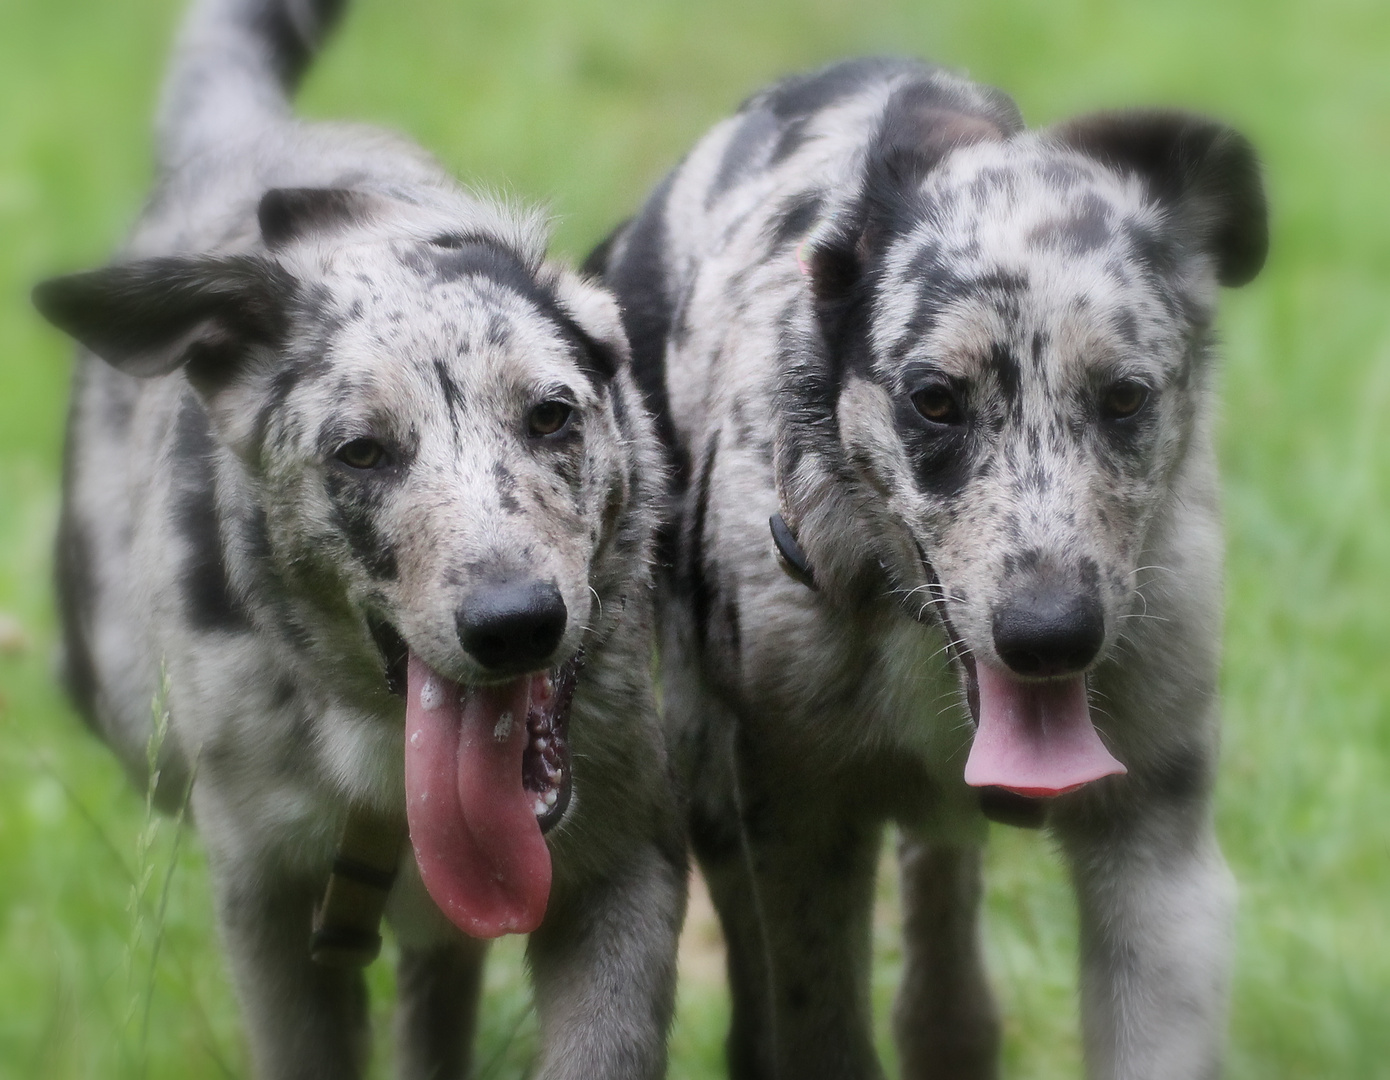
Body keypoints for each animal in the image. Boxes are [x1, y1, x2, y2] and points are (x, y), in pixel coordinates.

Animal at [32, 2, 683, 1078]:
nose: (515, 623)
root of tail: (243, 129)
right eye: (363, 452)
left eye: (551, 416)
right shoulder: (266, 897)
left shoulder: (624, 864)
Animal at [592, 56, 1267, 1078]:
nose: (1051, 636)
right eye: (935, 400)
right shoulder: (800, 824)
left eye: (1125, 397)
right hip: (705, 768)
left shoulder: (1158, 851)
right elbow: (818, 1026)